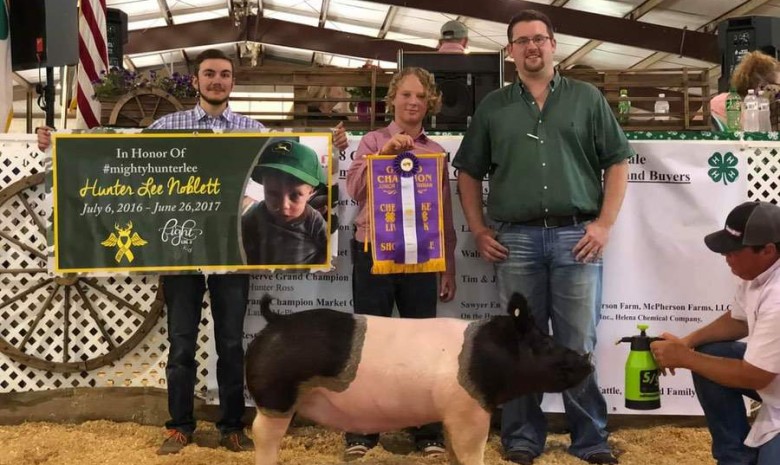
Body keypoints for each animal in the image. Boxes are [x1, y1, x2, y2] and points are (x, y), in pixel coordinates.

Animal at [244, 292, 592, 462]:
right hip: (275, 397)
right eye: (544, 343)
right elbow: (472, 451)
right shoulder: (470, 409)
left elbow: (454, 451)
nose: (586, 360)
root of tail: (275, 321)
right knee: (262, 434)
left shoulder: (453, 414)